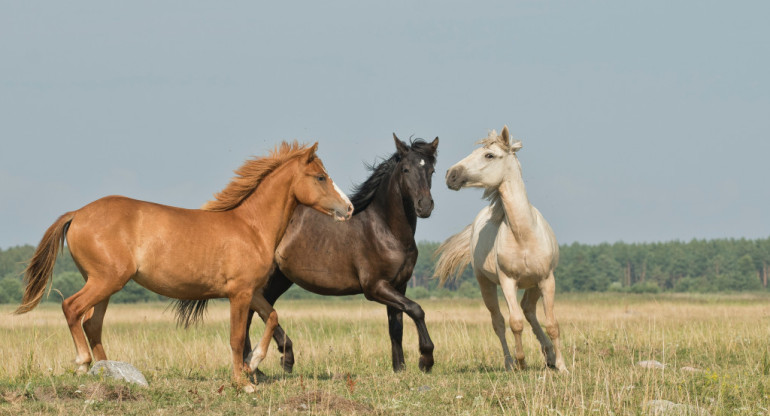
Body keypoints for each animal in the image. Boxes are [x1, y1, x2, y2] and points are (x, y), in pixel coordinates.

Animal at [15, 143, 352, 390]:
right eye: (320, 177)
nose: (348, 208)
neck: (251, 227)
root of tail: (78, 213)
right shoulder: (239, 294)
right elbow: (236, 337)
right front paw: (242, 382)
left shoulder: (252, 291)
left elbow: (272, 317)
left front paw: (253, 363)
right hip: (105, 280)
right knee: (72, 308)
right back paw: (83, 364)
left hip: (105, 285)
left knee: (92, 323)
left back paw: (109, 371)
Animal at [436, 125, 568, 372]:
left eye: (489, 155)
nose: (451, 175)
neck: (524, 236)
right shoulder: (508, 281)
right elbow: (514, 323)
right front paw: (521, 362)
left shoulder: (547, 280)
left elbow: (552, 324)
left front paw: (562, 367)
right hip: (485, 283)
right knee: (498, 321)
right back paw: (509, 363)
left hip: (534, 284)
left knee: (529, 310)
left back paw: (549, 356)